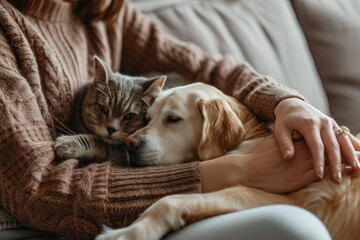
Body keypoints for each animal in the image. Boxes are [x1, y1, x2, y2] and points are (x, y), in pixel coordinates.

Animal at [95, 82, 360, 240]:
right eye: (148, 119)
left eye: (173, 119)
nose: (130, 143)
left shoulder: (287, 198)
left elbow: (169, 201)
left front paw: (128, 233)